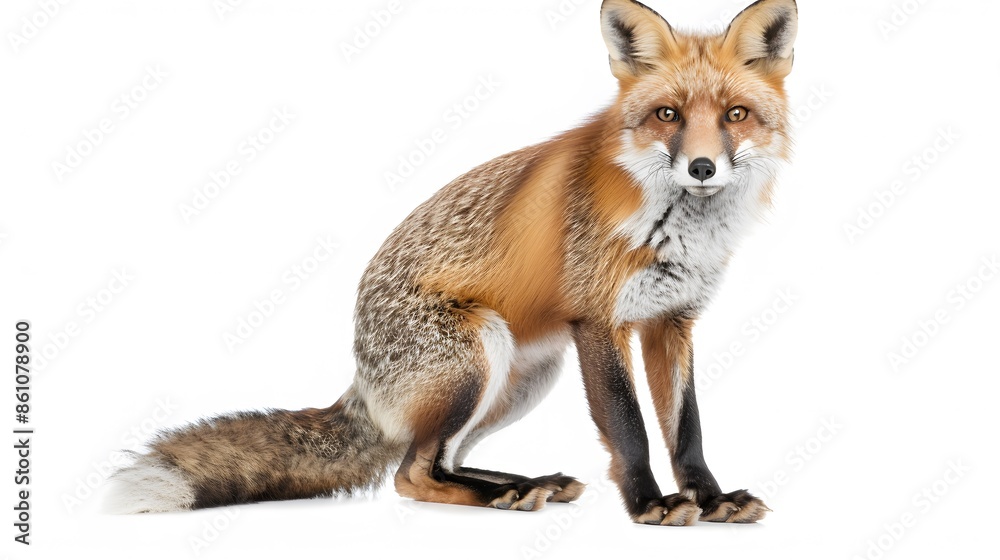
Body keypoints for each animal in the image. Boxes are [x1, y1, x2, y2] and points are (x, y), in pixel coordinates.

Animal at [106, 0, 798, 526]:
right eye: (667, 115)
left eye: (735, 115)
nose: (702, 167)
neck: (679, 229)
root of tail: (361, 378)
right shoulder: (598, 320)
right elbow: (630, 428)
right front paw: (651, 504)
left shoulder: (671, 321)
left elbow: (688, 429)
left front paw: (709, 497)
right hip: (478, 354)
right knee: (411, 474)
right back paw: (505, 493)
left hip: (524, 377)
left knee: (444, 460)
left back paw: (522, 483)